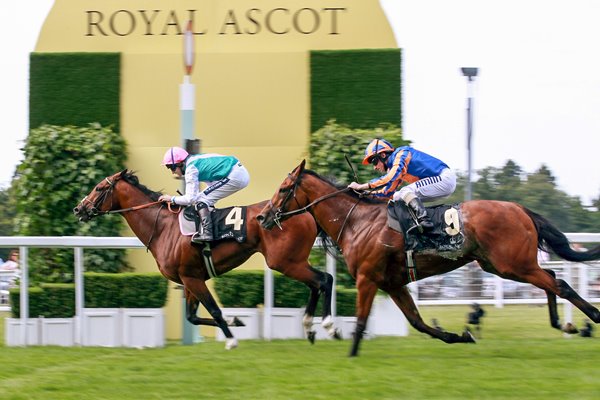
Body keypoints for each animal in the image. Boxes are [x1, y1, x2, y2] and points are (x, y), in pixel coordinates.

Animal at [71, 170, 338, 348]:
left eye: (98, 188)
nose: (78, 208)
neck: (163, 227)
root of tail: (305, 212)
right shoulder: (190, 278)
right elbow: (193, 316)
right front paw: (236, 321)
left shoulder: (191, 278)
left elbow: (213, 309)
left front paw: (231, 340)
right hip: (292, 261)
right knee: (317, 283)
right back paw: (310, 328)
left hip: (285, 261)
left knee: (324, 279)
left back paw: (329, 326)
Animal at [256, 161, 600, 358]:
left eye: (284, 189)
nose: (263, 216)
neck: (356, 221)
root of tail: (519, 208)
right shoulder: (393, 283)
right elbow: (418, 322)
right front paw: (461, 335)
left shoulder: (367, 278)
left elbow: (363, 320)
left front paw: (350, 353)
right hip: (504, 265)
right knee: (553, 279)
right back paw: (564, 324)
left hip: (512, 264)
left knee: (561, 283)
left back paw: (592, 317)